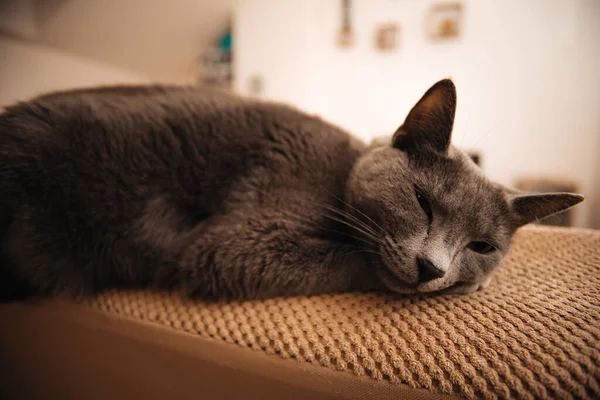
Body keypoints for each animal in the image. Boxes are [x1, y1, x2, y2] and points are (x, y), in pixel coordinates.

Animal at [0, 79, 580, 302]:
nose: (433, 268)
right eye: (421, 201)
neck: (338, 176)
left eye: (482, 246)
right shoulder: (242, 240)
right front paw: (469, 286)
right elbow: (354, 261)